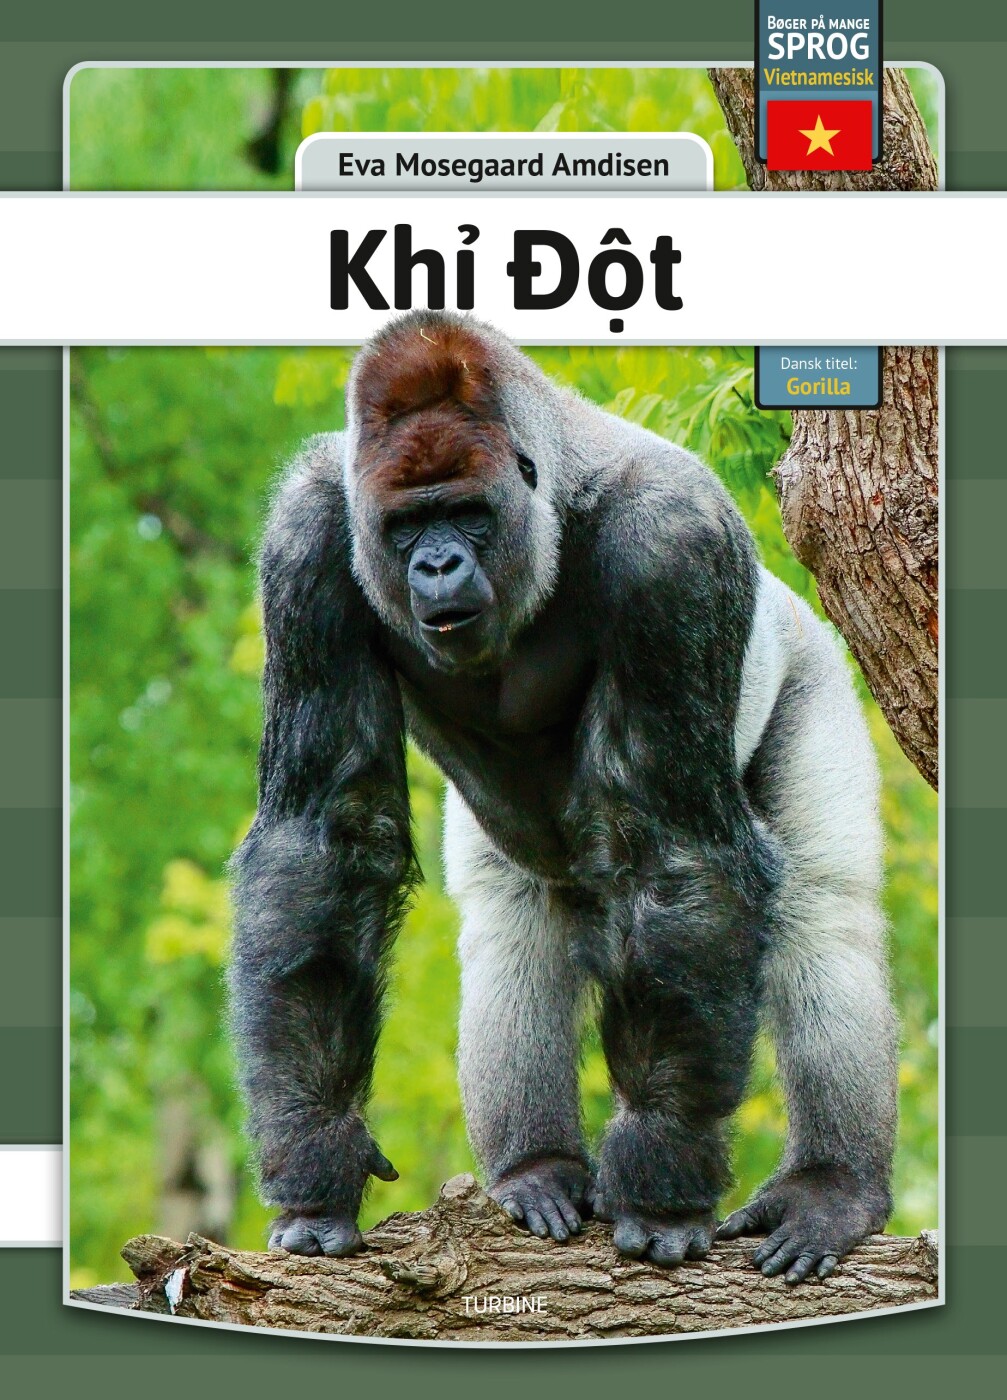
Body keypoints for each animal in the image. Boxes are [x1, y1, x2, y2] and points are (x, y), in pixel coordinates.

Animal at [229, 311, 898, 1285]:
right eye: (405, 526)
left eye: (467, 513)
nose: (436, 565)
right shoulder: (308, 538)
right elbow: (322, 842)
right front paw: (317, 1159)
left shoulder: (673, 544)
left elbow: (674, 853)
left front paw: (661, 1182)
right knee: (512, 925)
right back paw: (533, 1169)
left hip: (808, 659)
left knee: (822, 911)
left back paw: (830, 1187)